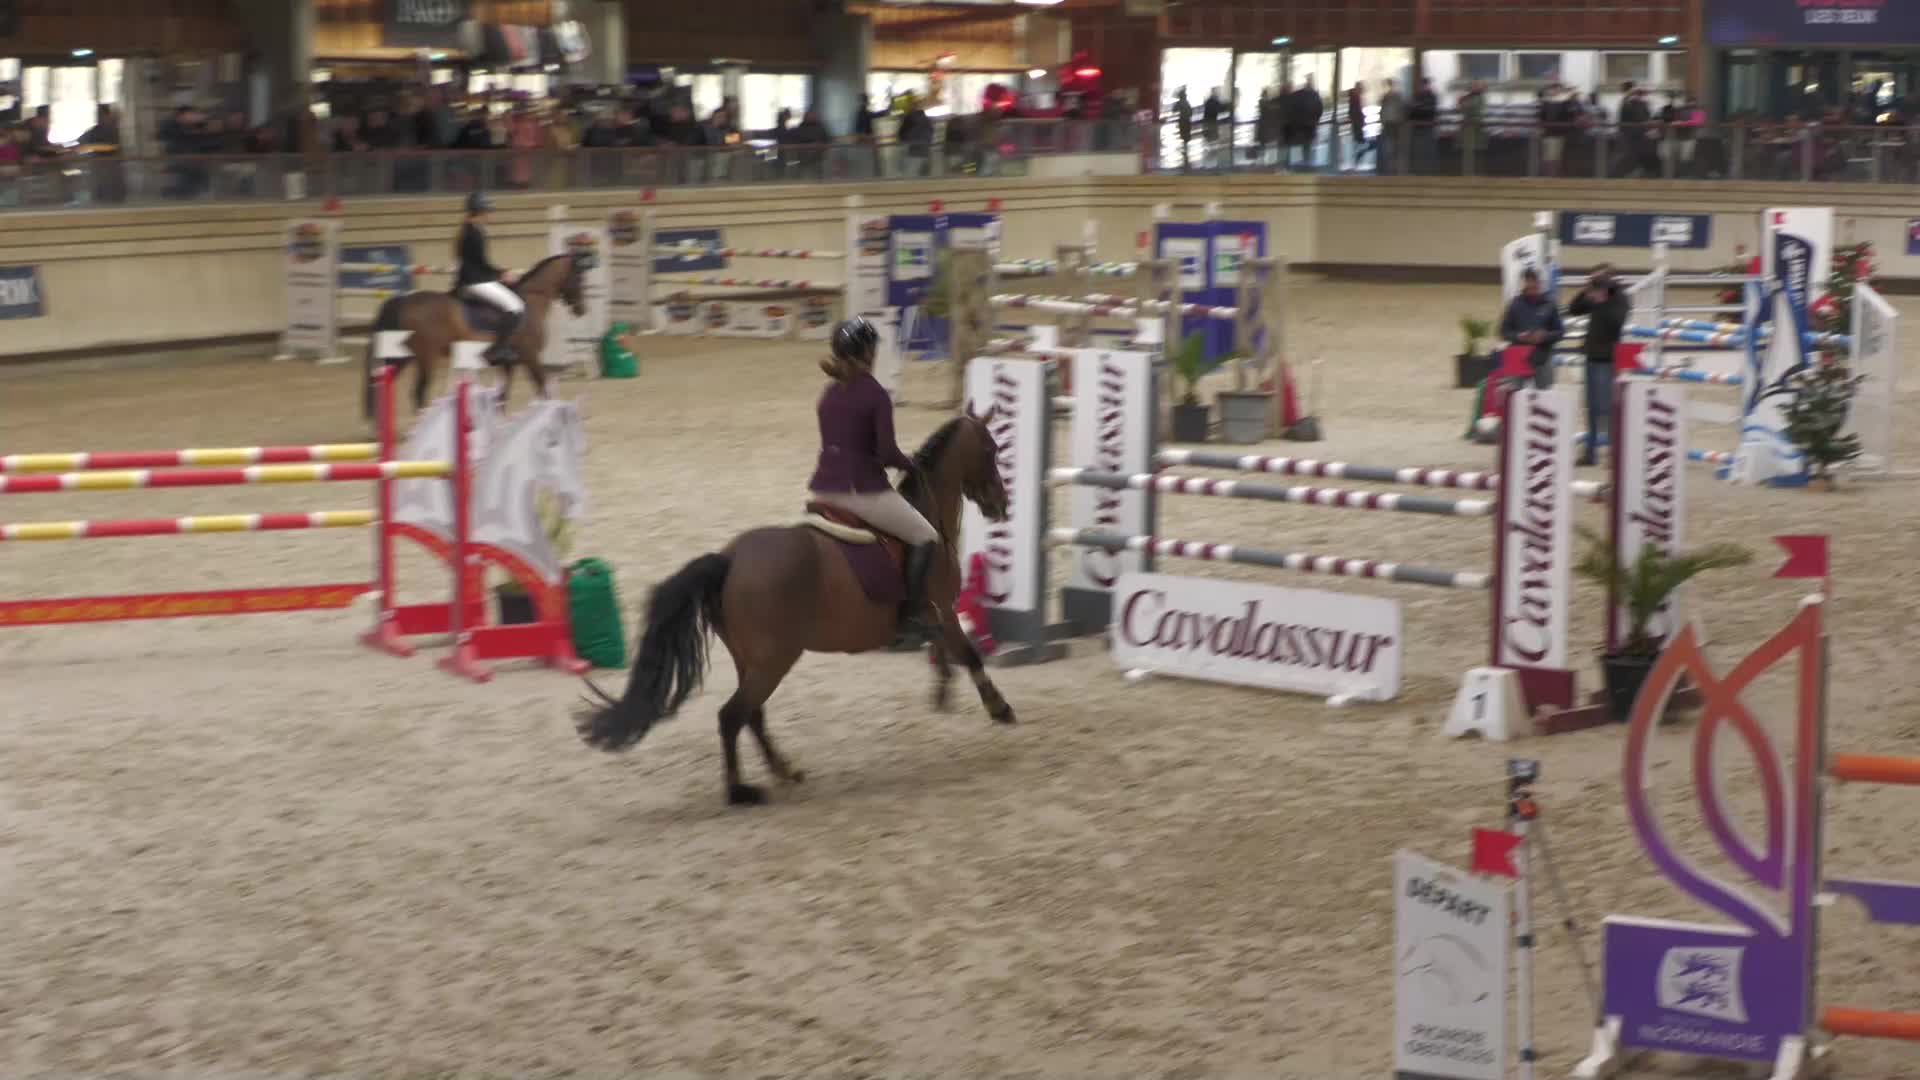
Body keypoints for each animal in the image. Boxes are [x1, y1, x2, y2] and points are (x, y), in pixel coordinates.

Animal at [362, 253, 588, 419]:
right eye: (578, 277)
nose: (581, 310)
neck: (531, 301)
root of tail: (404, 300)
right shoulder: (530, 356)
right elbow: (541, 385)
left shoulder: (510, 363)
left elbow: (503, 396)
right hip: (426, 356)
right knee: (417, 391)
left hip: (403, 355)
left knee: (381, 382)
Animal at [575, 404, 1016, 807]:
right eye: (992, 449)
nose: (1001, 505)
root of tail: (728, 559)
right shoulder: (943, 607)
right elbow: (969, 653)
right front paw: (998, 707)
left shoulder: (936, 613)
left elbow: (946, 648)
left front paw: (943, 688)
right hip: (775, 658)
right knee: (732, 716)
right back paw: (740, 791)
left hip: (752, 659)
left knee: (751, 714)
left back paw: (784, 770)